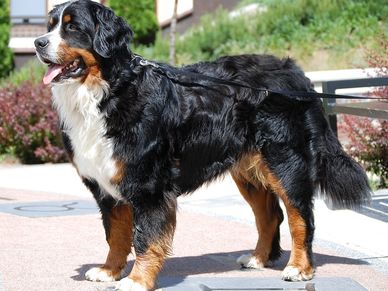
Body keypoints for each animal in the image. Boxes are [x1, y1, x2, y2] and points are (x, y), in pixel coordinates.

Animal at [34, 1, 372, 290]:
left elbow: (145, 239)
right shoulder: (106, 185)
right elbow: (115, 235)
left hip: (286, 161)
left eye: (72, 27)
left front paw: (137, 280)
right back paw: (258, 258)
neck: (107, 91)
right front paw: (108, 271)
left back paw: (299, 268)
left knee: (300, 217)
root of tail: (296, 74)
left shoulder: (148, 185)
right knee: (269, 215)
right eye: (50, 26)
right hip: (248, 171)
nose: (38, 42)